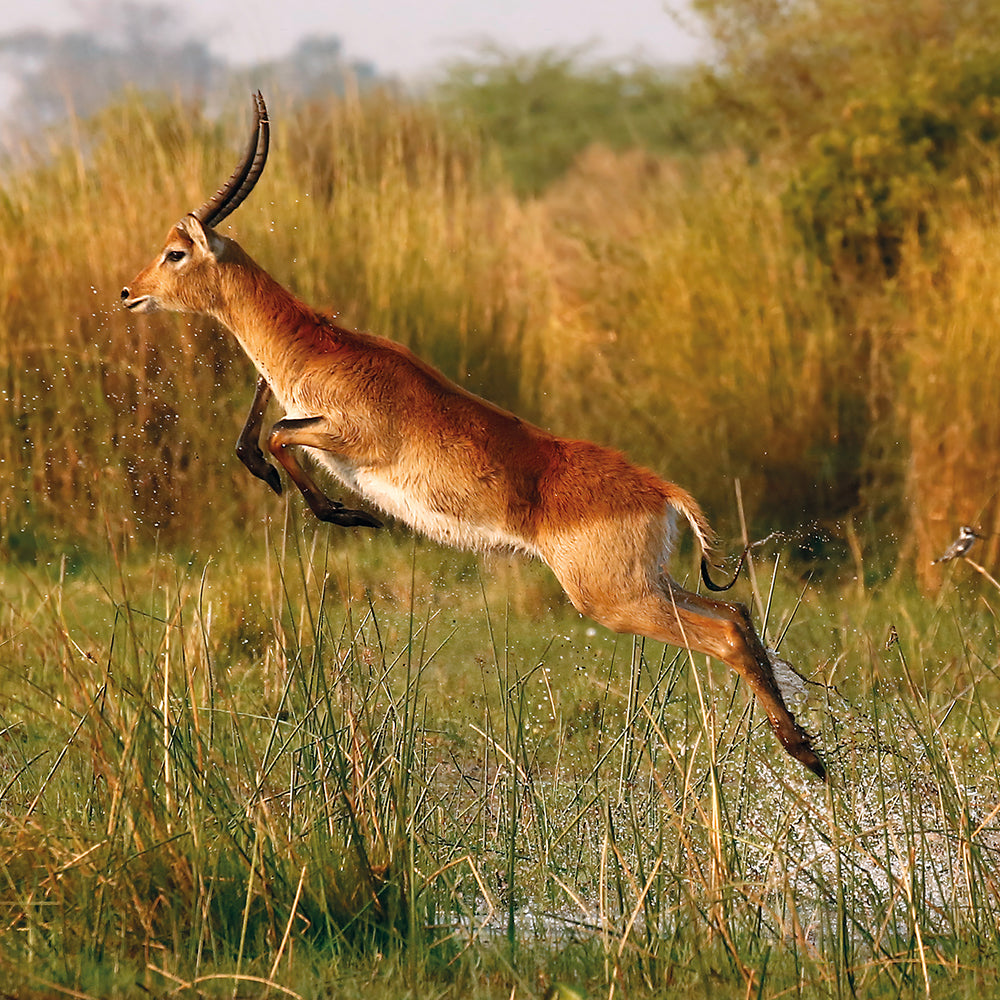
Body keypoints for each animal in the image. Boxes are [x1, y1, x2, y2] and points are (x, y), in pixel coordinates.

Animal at [121, 93, 826, 780]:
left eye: (175, 252)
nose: (130, 291)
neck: (315, 347)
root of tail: (661, 489)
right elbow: (270, 431)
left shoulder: (349, 439)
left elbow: (275, 438)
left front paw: (347, 513)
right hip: (650, 585)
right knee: (739, 615)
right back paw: (808, 747)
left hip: (614, 599)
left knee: (726, 635)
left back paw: (805, 755)